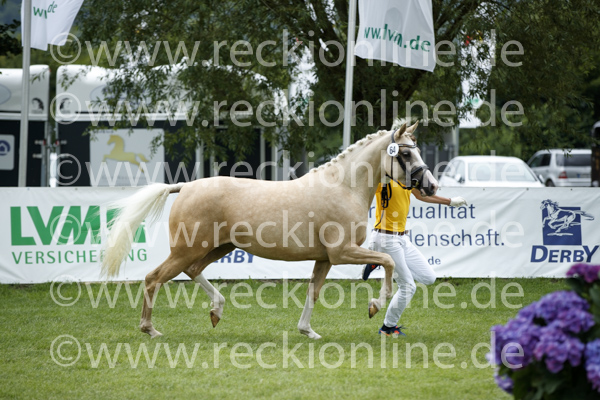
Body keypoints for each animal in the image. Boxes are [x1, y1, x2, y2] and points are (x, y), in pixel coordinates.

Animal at [101, 122, 438, 339]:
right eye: (405, 154)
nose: (432, 186)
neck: (343, 187)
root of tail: (184, 186)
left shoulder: (325, 259)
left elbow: (313, 292)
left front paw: (307, 331)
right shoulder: (342, 253)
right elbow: (388, 262)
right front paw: (374, 306)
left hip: (218, 248)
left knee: (192, 271)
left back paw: (216, 311)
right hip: (187, 249)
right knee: (153, 278)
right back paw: (150, 329)